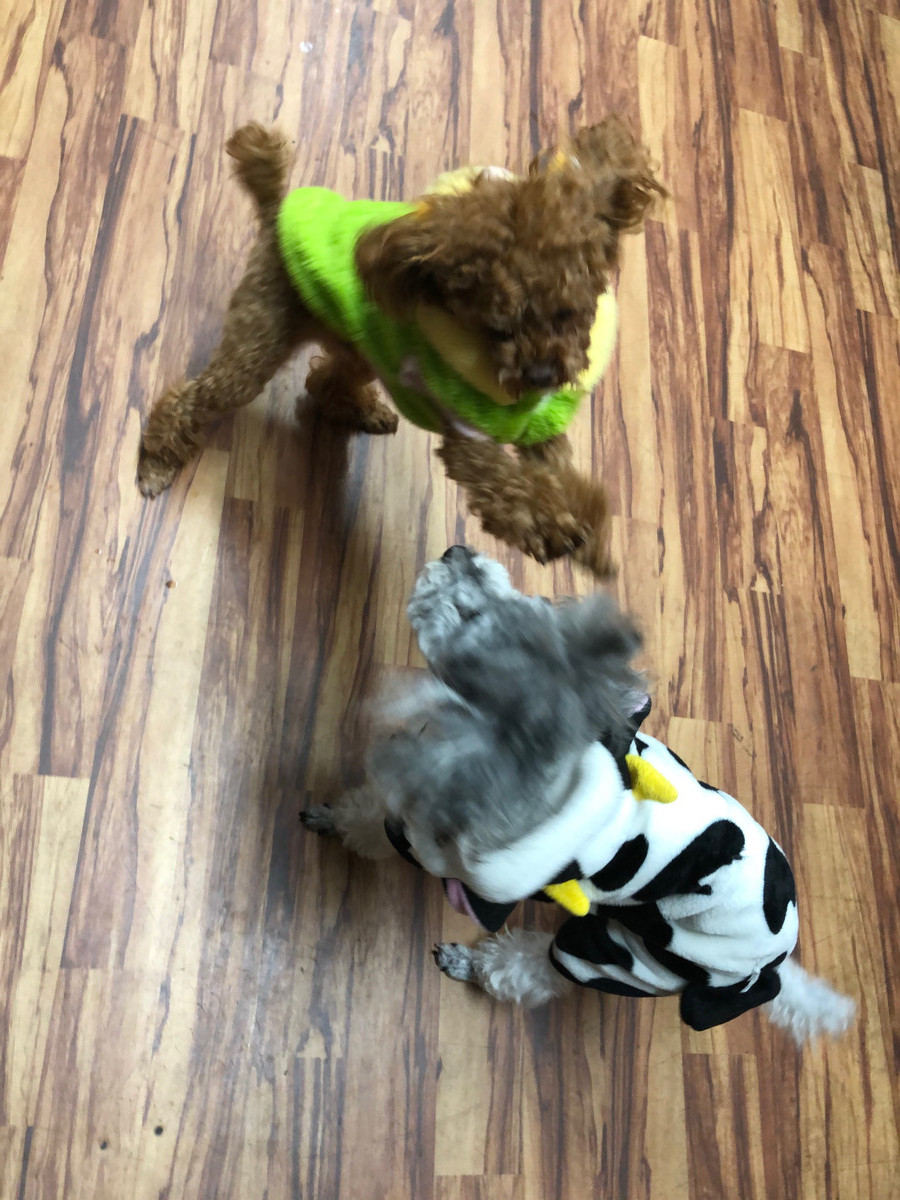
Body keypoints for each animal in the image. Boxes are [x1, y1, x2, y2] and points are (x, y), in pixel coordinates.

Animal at [138, 121, 664, 574]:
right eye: (497, 329)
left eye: (569, 313)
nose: (540, 378)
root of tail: (276, 213)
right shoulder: (470, 442)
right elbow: (507, 485)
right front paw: (551, 525)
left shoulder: (541, 428)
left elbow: (564, 475)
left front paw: (591, 537)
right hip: (259, 339)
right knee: (193, 398)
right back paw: (155, 464)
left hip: (358, 346)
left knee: (325, 380)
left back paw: (363, 411)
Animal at [302, 547, 855, 1042]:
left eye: (470, 615)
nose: (458, 550)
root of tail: (769, 966)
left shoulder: (438, 845)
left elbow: (378, 826)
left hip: (630, 957)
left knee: (535, 972)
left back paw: (473, 964)